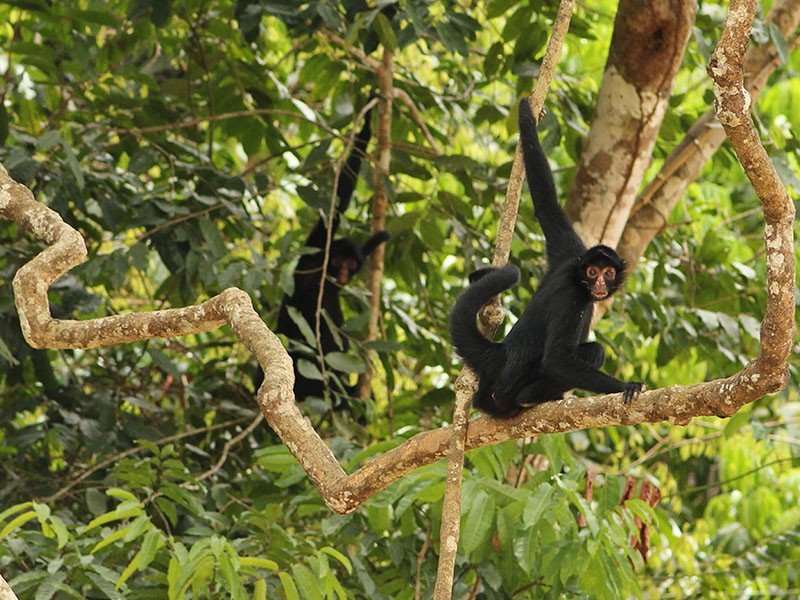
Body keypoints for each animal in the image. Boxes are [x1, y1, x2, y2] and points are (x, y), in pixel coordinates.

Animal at [255, 110, 389, 406]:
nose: (344, 273)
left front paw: (378, 238)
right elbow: (337, 204)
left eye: (352, 265)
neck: (324, 277)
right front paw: (365, 130)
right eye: (340, 263)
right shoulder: (316, 251)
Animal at [449, 98, 643, 418]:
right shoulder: (571, 297)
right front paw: (625, 387)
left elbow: (545, 202)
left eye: (609, 273)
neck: (575, 277)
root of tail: (499, 356)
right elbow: (556, 359)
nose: (600, 284)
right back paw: (529, 398)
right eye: (592, 272)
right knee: (594, 351)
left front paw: (527, 116)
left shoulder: (569, 251)